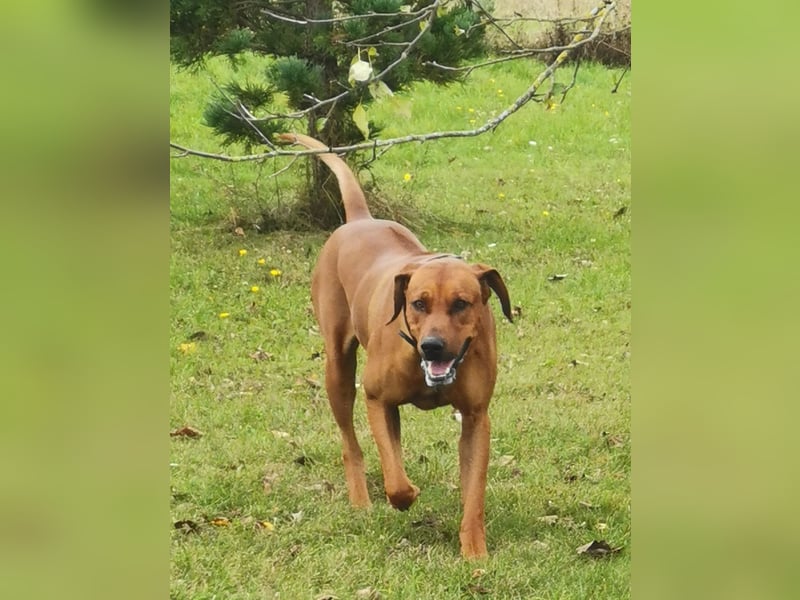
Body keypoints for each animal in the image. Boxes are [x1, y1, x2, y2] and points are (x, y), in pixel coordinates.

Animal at [278, 132, 510, 556]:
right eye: (418, 303)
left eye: (461, 303)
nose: (432, 346)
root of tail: (360, 219)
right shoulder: (376, 399)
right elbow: (396, 480)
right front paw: (405, 496)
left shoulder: (476, 418)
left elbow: (473, 494)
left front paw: (474, 552)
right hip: (339, 369)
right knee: (352, 444)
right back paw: (361, 500)